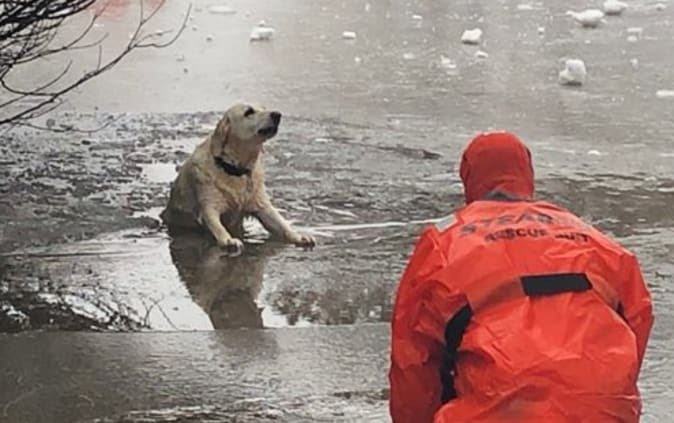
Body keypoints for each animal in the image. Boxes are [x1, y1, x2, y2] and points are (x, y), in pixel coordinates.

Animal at [159, 104, 314, 253]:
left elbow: (281, 223)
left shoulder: (260, 203)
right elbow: (216, 224)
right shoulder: (209, 203)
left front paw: (299, 237)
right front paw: (229, 240)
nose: (277, 114)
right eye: (249, 112)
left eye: (264, 108)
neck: (234, 170)